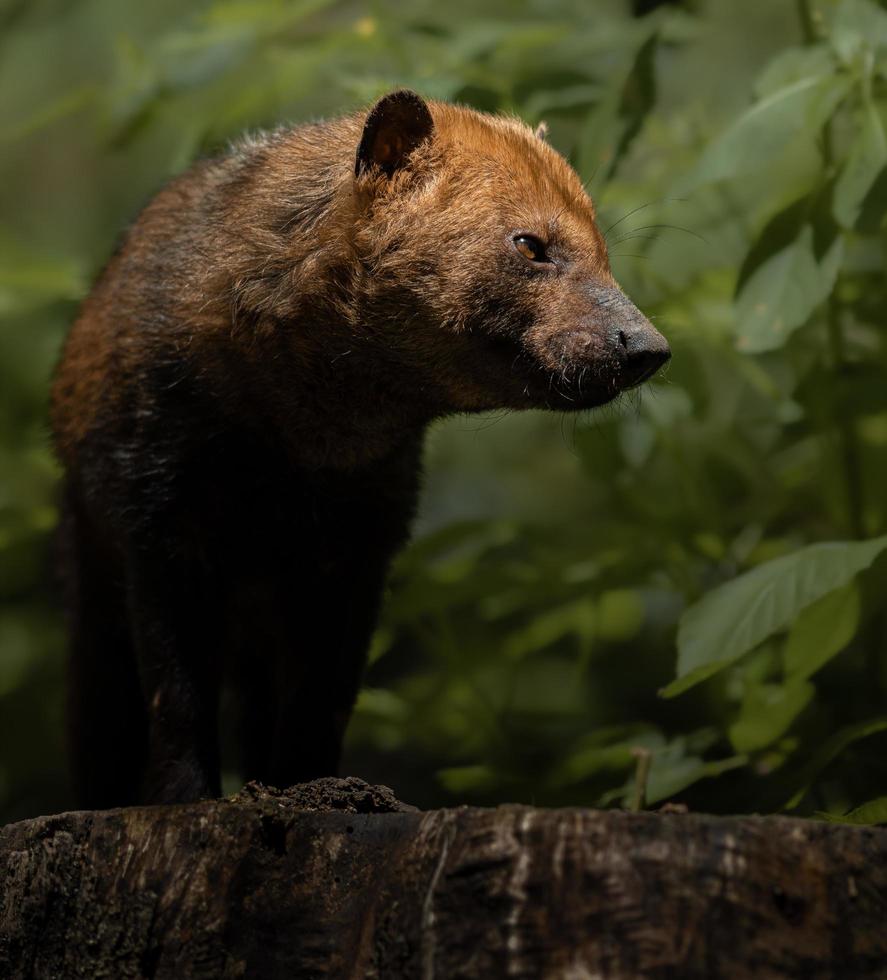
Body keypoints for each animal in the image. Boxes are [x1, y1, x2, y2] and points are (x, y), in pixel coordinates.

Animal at [52, 90, 668, 804]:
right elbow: (176, 701)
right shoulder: (162, 532)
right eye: (530, 244)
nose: (649, 347)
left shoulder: (355, 549)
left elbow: (322, 701)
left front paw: (311, 790)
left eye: (604, 250)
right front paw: (188, 801)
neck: (297, 436)